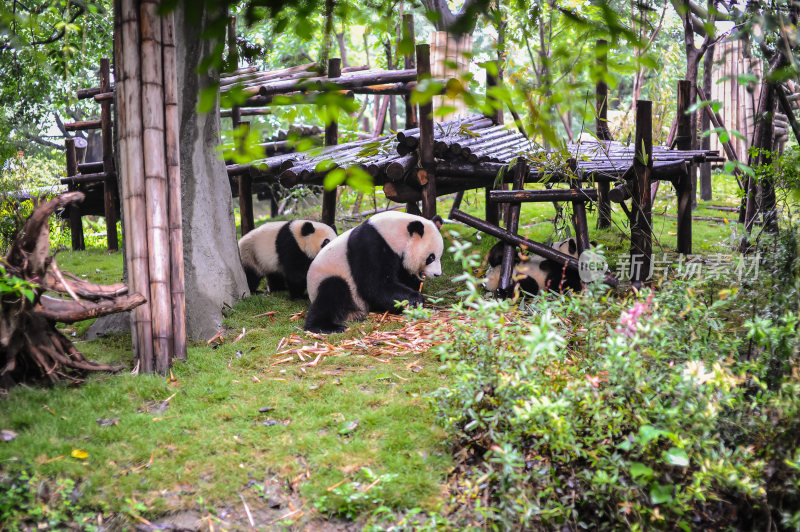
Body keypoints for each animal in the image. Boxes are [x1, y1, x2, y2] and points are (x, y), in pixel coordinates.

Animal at [304, 211, 444, 332]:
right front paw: (416, 299)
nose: (437, 274)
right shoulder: (371, 245)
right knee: (332, 290)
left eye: (439, 256)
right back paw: (324, 326)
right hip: (330, 281)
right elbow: (375, 286)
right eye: (431, 257)